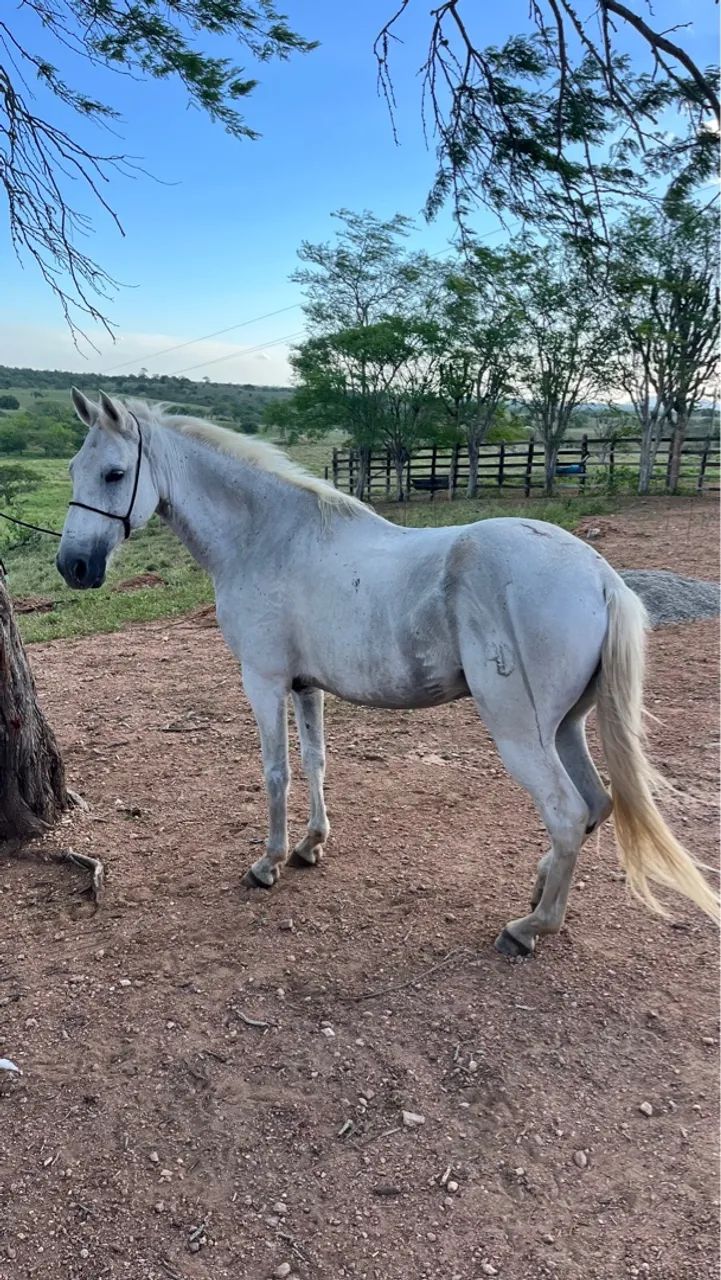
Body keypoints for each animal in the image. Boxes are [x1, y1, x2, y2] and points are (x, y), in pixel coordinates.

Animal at [56, 391, 718, 955]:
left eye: (113, 473)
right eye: (74, 469)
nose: (74, 566)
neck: (268, 538)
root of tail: (601, 577)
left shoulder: (263, 681)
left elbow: (276, 773)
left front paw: (268, 863)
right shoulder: (306, 688)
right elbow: (316, 762)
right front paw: (310, 846)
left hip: (522, 733)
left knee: (566, 813)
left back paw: (529, 927)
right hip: (566, 727)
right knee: (593, 806)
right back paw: (538, 890)